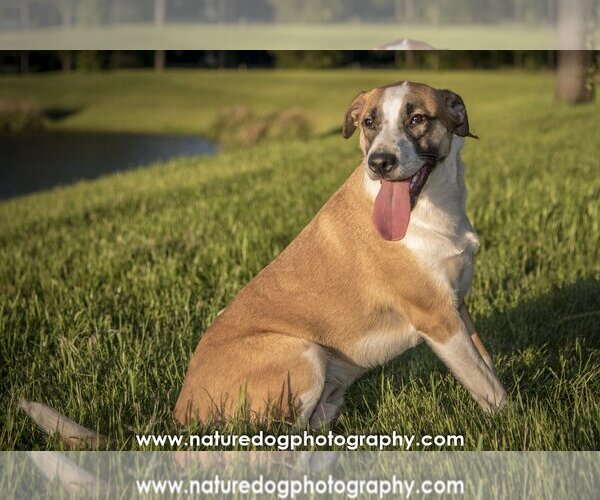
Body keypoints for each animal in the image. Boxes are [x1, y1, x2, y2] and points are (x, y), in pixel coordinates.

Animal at [173, 80, 506, 428]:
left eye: (417, 118)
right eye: (369, 122)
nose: (379, 163)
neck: (432, 210)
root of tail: (182, 408)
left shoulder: (457, 305)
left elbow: (486, 363)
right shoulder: (438, 317)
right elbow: (485, 382)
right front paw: (511, 418)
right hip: (302, 352)